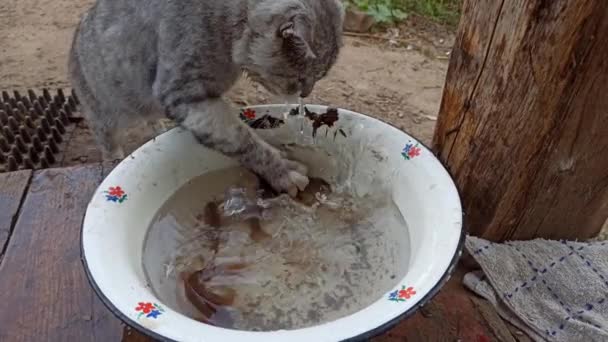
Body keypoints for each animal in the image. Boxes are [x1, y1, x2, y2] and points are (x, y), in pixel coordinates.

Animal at [69, 0, 344, 196]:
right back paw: (114, 155)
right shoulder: (184, 94)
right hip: (102, 110)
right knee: (105, 137)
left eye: (321, 76)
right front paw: (283, 171)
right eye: (302, 78)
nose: (306, 93)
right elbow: (241, 137)